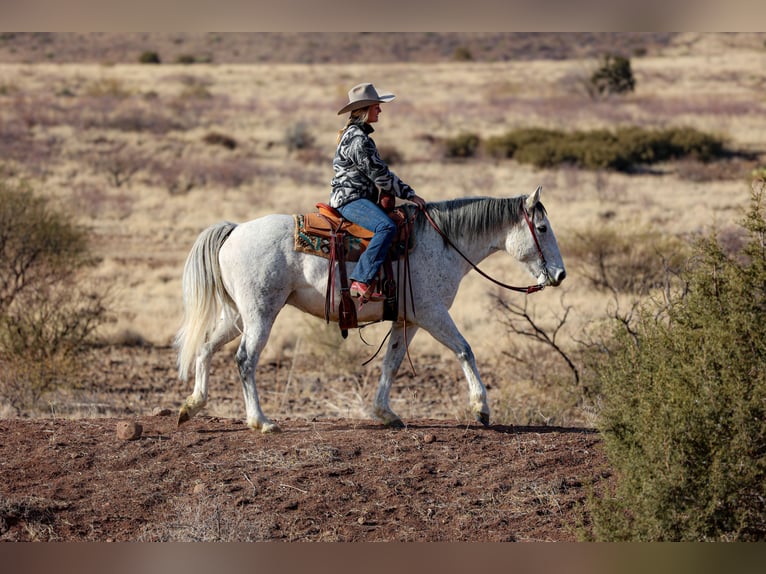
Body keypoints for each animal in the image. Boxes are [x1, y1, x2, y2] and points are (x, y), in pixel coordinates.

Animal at [177, 187, 568, 434]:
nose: (560, 275)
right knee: (245, 359)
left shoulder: (407, 320)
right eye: (542, 227)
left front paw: (385, 413)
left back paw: (192, 406)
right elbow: (464, 350)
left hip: (237, 316)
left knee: (206, 348)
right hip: (260, 314)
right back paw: (261, 421)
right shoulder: (432, 314)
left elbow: (391, 364)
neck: (442, 241)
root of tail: (235, 230)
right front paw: (481, 408)